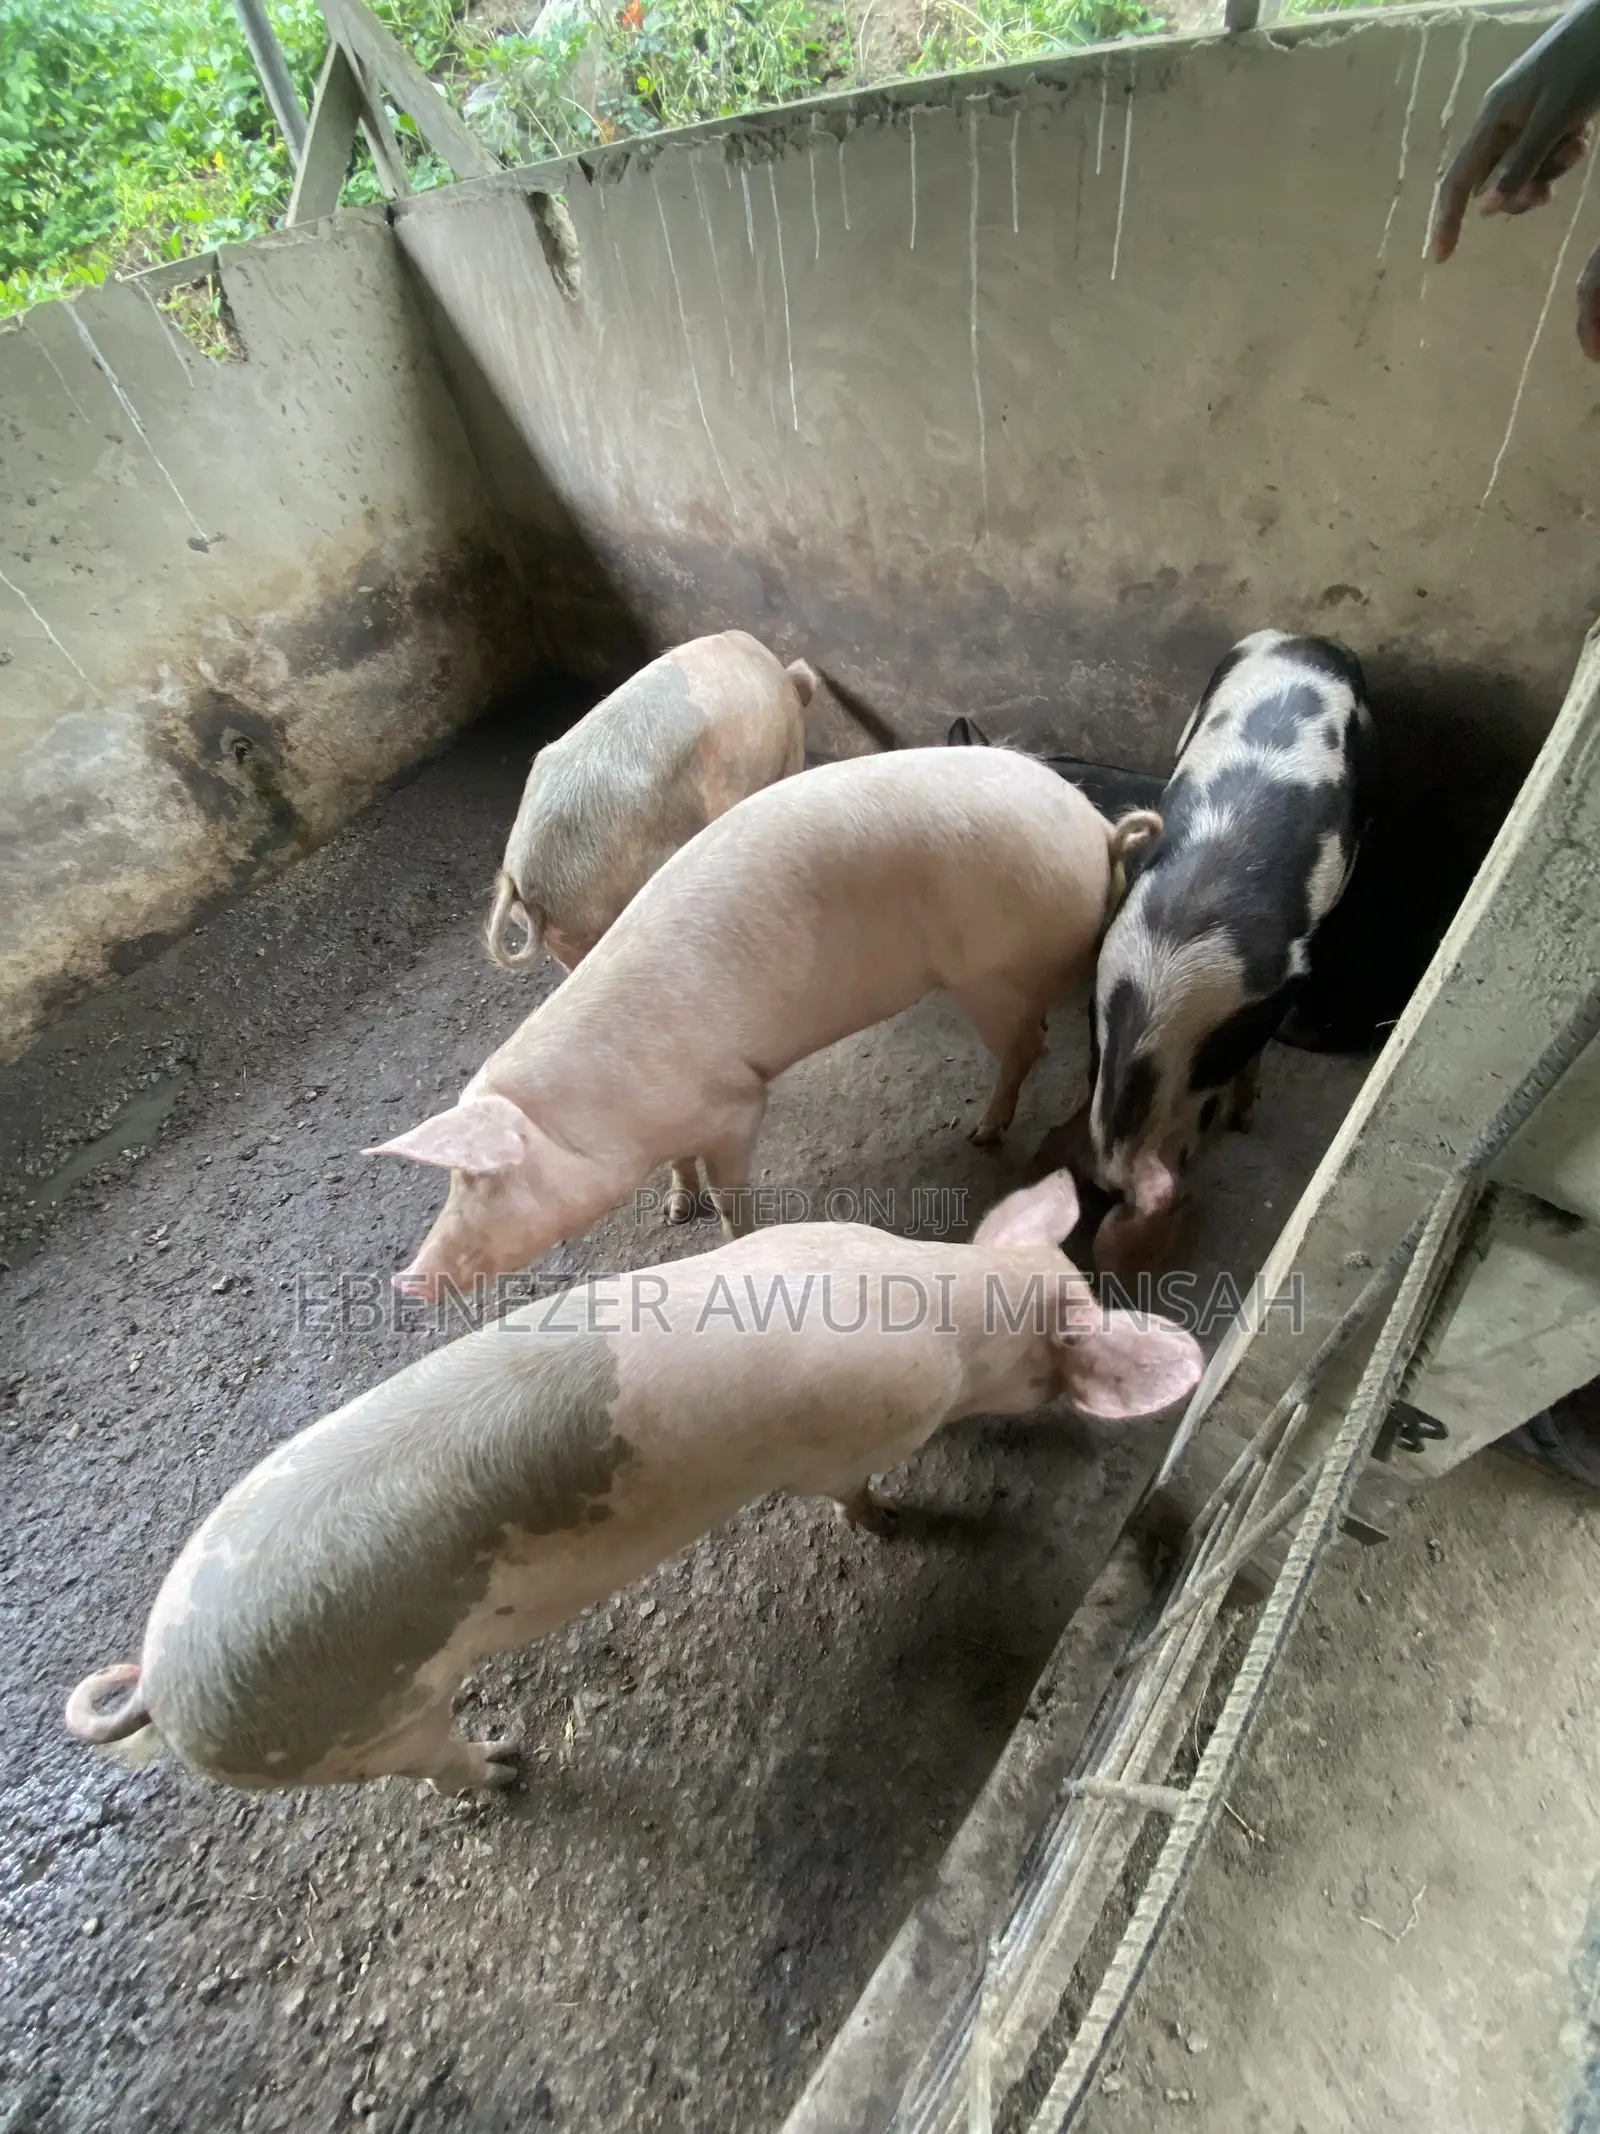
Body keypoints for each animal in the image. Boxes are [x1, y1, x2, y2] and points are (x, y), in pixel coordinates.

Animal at [63, 1174, 1202, 1797]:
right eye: (1052, 1373)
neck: (949, 1313)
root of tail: (162, 1685)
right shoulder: (852, 1437)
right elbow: (851, 1493)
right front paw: (889, 1522)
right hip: (361, 1724)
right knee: (431, 1766)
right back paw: (506, 1765)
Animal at [371, 748, 1143, 1301]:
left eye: (490, 1181)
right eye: (454, 1183)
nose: (407, 1280)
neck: (615, 1118)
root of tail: (1101, 830)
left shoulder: (737, 1103)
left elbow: (730, 1191)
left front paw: (724, 1232)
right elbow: (683, 1171)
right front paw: (674, 1213)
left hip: (992, 974)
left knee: (1031, 1046)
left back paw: (985, 1134)